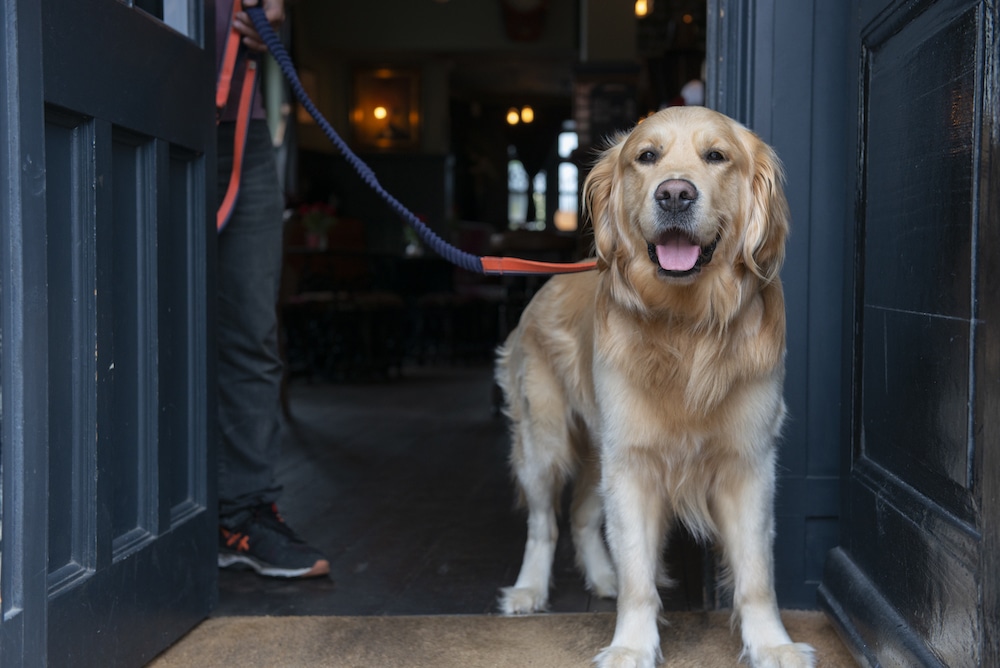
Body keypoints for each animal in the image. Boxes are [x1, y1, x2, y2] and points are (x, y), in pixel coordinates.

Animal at [496, 107, 816, 664]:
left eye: (717, 156)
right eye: (646, 156)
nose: (675, 194)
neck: (685, 326)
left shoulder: (748, 462)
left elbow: (757, 573)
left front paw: (772, 644)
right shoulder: (632, 463)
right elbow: (638, 576)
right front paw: (630, 646)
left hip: (598, 449)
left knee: (581, 516)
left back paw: (602, 578)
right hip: (545, 441)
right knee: (544, 522)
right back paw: (529, 590)